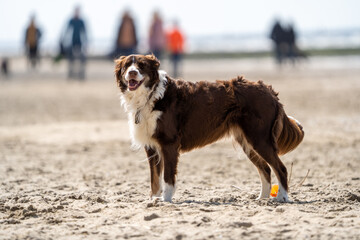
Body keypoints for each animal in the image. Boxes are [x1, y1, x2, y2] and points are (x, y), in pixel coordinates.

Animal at [116, 54, 304, 202]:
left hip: (259, 138)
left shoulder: (169, 144)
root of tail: (268, 90)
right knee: (265, 169)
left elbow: (167, 178)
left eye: (142, 65)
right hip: (248, 142)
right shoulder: (152, 147)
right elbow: (154, 180)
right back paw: (262, 198)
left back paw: (282, 197)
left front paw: (166, 200)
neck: (152, 95)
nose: (132, 72)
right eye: (126, 66)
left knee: (280, 168)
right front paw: (154, 199)